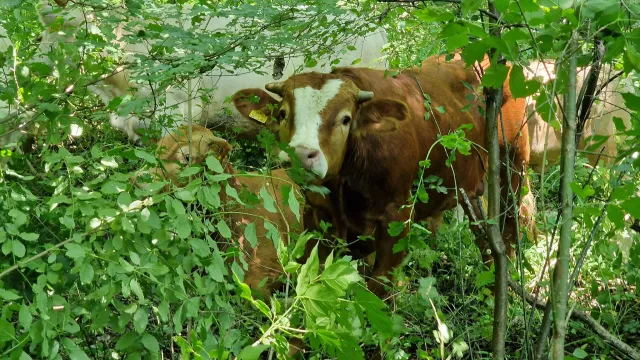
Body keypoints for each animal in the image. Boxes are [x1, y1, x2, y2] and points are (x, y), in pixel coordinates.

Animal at [234, 53, 528, 296]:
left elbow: (379, 290)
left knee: (509, 231)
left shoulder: (396, 219)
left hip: (513, 164)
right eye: (283, 114)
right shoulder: (317, 215)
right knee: (482, 234)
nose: (301, 154)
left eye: (345, 119)